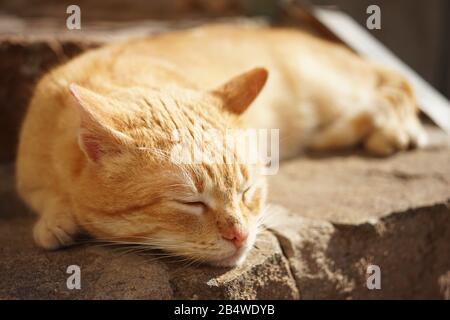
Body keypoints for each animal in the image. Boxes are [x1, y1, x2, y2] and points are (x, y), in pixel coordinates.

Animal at [16, 24, 426, 264]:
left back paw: (383, 132)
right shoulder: (28, 176)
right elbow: (45, 195)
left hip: (335, 87)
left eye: (247, 191)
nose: (240, 235)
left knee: (398, 85)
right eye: (190, 202)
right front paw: (57, 217)